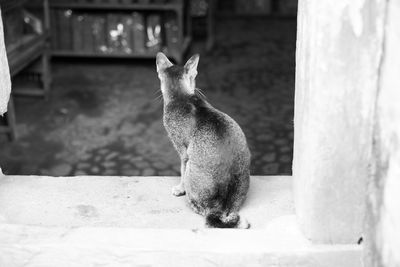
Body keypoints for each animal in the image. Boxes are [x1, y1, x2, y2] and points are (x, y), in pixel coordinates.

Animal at [155, 52, 250, 228]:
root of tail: (220, 209)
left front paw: (180, 188)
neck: (181, 97)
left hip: (192, 166)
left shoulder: (182, 150)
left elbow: (181, 170)